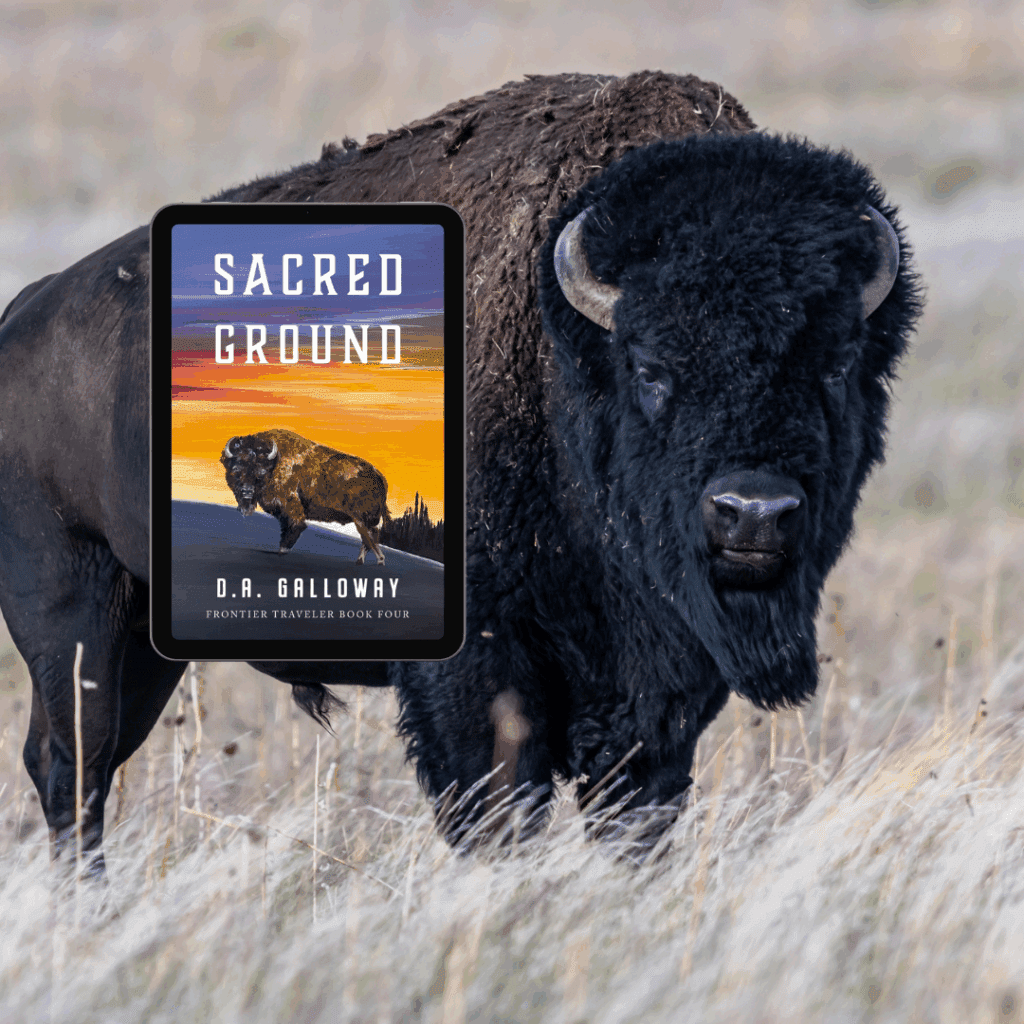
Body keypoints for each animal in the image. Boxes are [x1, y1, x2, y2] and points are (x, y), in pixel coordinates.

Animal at [221, 428, 391, 564]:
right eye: (236, 470)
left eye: (260, 473)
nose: (247, 492)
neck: (275, 463)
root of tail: (379, 475)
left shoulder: (290, 508)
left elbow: (294, 527)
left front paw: (281, 551)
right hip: (364, 521)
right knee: (369, 539)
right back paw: (364, 561)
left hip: (361, 519)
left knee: (369, 539)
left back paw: (377, 561)